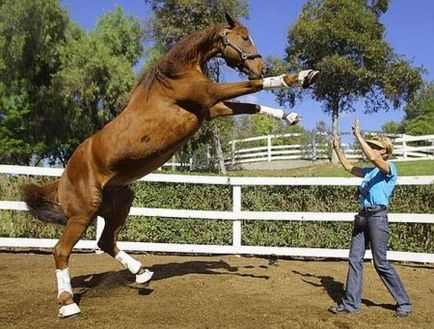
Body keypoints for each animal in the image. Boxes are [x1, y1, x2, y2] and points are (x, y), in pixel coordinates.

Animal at [20, 11, 318, 316]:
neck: (175, 75)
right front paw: (300, 76)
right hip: (83, 213)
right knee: (61, 250)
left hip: (120, 202)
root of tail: (64, 177)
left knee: (105, 241)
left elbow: (253, 106)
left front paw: (290, 116)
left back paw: (142, 273)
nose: (259, 65)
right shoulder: (211, 96)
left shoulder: (211, 108)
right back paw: (68, 304)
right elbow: (253, 87)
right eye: (244, 37)